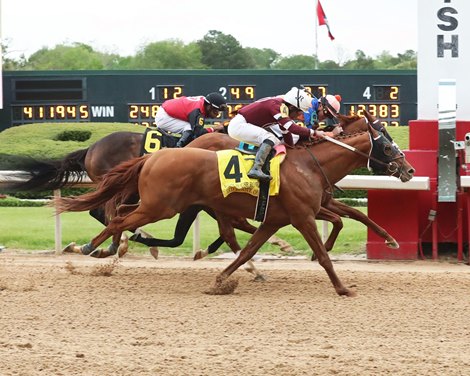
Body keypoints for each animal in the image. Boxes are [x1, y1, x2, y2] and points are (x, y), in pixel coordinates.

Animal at [54, 124, 414, 296]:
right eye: (387, 146)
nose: (409, 170)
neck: (309, 165)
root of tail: (153, 156)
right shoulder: (303, 217)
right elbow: (327, 251)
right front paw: (342, 287)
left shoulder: (277, 219)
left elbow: (248, 249)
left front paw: (222, 280)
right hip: (162, 206)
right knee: (117, 217)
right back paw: (91, 246)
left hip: (166, 204)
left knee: (118, 214)